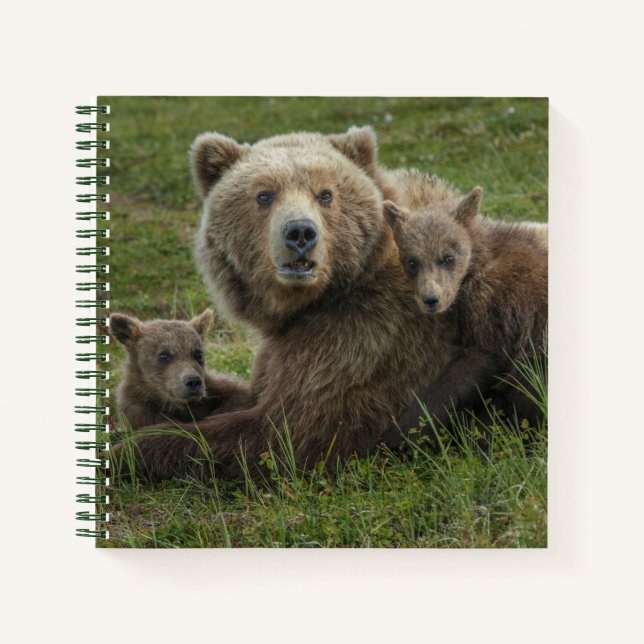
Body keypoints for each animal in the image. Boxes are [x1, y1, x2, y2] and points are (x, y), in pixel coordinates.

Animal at [380, 185, 548, 447]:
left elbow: (467, 371)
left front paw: (398, 434)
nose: (431, 299)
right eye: (412, 261)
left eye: (448, 257)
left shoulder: (499, 313)